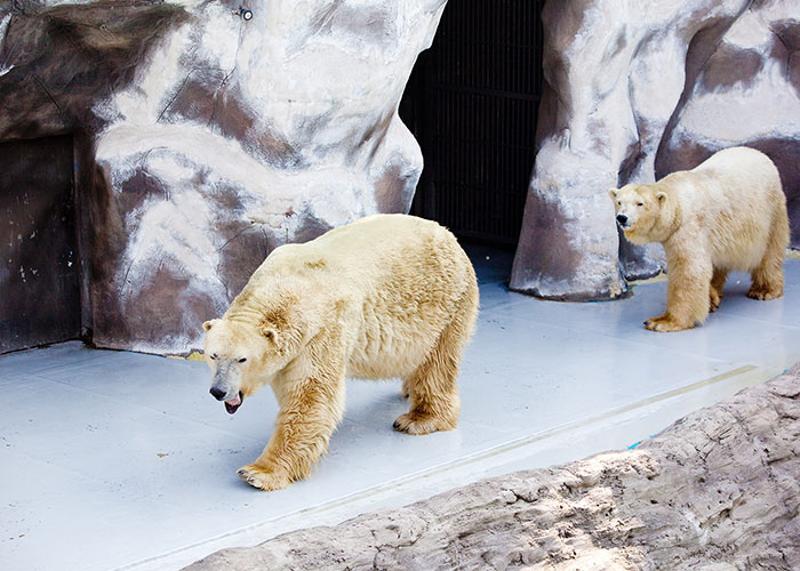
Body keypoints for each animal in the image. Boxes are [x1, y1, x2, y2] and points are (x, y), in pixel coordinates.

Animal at [202, 214, 476, 492]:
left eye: (242, 359)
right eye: (212, 356)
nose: (218, 391)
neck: (283, 287)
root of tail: (447, 234)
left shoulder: (322, 331)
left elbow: (311, 398)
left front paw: (258, 473)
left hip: (443, 305)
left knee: (436, 363)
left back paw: (418, 419)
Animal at [612, 147, 788, 332]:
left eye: (640, 203)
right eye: (619, 202)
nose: (622, 218)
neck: (677, 203)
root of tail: (760, 154)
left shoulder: (688, 227)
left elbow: (689, 269)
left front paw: (663, 321)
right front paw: (711, 300)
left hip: (771, 211)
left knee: (769, 253)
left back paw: (764, 290)